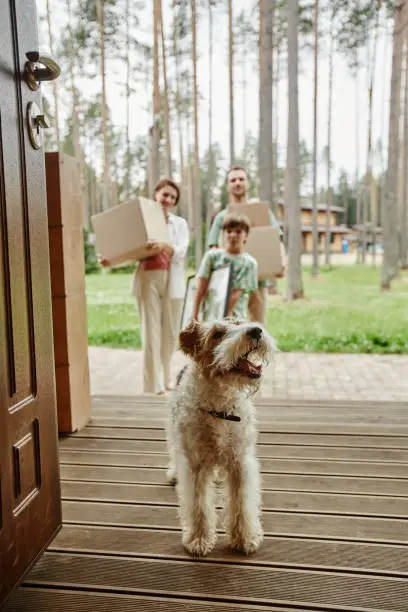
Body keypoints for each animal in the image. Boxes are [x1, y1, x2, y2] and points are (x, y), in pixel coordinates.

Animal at [166, 318, 278, 556]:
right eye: (217, 334)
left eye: (240, 321)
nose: (256, 330)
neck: (220, 408)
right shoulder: (195, 464)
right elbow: (199, 505)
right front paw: (199, 540)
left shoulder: (240, 462)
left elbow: (242, 503)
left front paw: (245, 538)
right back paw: (172, 473)